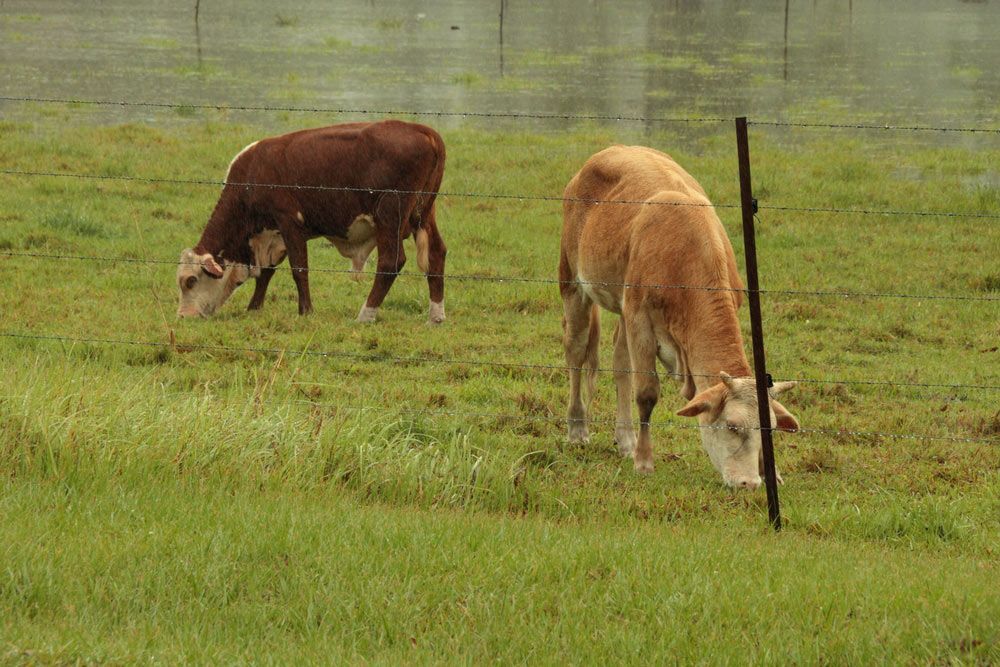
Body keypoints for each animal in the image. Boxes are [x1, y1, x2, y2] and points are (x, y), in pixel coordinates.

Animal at [176, 120, 447, 324]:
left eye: (190, 281)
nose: (184, 316)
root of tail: (423, 131)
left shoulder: (289, 222)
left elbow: (299, 269)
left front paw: (305, 311)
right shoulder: (273, 234)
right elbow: (267, 273)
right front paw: (254, 308)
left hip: (390, 215)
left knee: (391, 262)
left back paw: (365, 315)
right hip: (424, 214)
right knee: (436, 254)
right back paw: (436, 316)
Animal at [559, 145, 799, 490]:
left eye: (771, 431)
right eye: (732, 426)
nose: (749, 484)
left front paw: (772, 472)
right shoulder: (640, 319)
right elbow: (646, 392)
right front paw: (644, 461)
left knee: (621, 364)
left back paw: (625, 439)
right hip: (572, 282)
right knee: (577, 352)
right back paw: (578, 428)